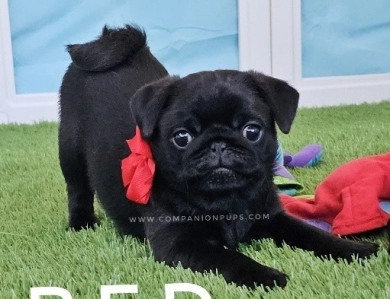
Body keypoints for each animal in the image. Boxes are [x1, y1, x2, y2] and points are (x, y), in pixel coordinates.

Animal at [59, 25, 380, 290]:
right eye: (182, 138)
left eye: (252, 131)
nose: (218, 144)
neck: (225, 200)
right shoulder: (179, 243)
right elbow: (228, 257)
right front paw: (263, 275)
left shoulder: (274, 218)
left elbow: (312, 235)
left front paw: (355, 250)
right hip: (69, 149)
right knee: (77, 189)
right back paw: (81, 224)